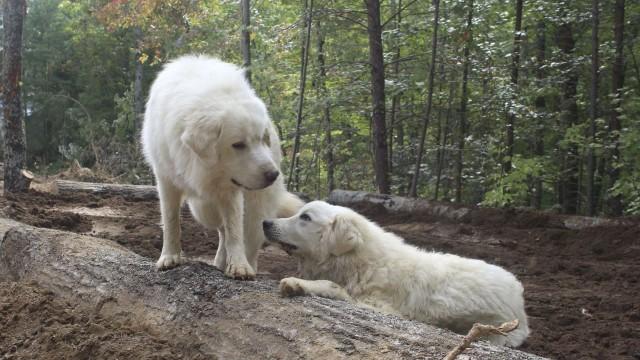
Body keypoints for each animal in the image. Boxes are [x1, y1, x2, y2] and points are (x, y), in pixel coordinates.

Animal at [144, 54, 304, 280]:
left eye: (262, 139)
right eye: (238, 145)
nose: (273, 175)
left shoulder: (232, 191)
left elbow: (235, 231)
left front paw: (239, 266)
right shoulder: (166, 181)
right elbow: (171, 221)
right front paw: (169, 257)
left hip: (254, 208)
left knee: (248, 237)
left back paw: (245, 264)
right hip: (203, 210)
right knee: (220, 229)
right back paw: (220, 262)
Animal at [262, 201, 528, 348]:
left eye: (305, 217)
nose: (265, 222)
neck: (360, 261)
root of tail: (519, 293)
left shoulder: (380, 307)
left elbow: (331, 285)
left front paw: (298, 284)